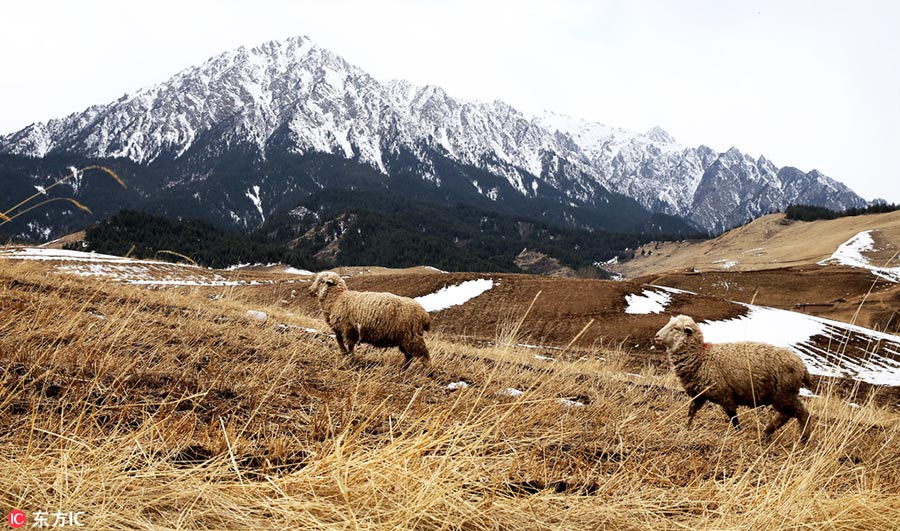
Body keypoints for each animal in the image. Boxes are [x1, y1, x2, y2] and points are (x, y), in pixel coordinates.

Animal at [652, 314, 816, 442]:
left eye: (675, 328)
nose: (656, 336)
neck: (701, 356)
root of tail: (802, 366)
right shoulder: (700, 394)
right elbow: (691, 411)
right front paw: (686, 427)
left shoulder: (725, 395)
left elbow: (733, 418)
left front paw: (738, 432)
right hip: (782, 394)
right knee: (787, 414)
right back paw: (767, 433)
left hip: (784, 393)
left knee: (801, 413)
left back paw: (802, 439)